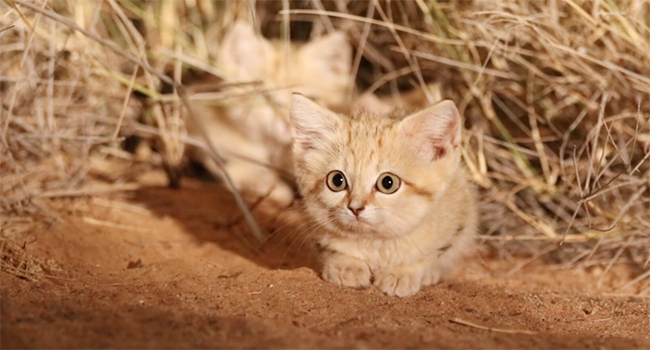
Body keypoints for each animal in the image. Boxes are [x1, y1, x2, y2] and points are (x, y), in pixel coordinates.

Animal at [288, 94, 476, 296]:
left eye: (388, 183)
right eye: (337, 180)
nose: (355, 208)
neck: (374, 241)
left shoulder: (457, 219)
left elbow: (429, 254)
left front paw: (402, 272)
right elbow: (335, 249)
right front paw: (347, 266)